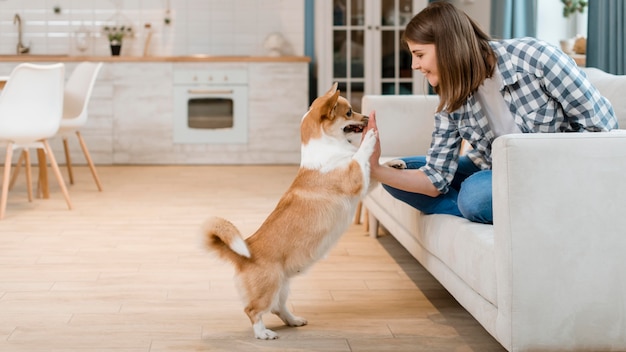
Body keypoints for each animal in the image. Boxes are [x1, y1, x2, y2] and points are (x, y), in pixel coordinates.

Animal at [201, 82, 376, 338]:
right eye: (349, 112)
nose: (366, 119)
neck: (327, 148)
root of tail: (244, 253)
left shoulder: (364, 184)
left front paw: (397, 163)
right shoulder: (355, 177)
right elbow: (362, 155)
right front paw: (370, 139)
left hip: (282, 287)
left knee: (278, 308)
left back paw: (293, 320)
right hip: (269, 288)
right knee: (253, 311)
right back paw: (263, 333)